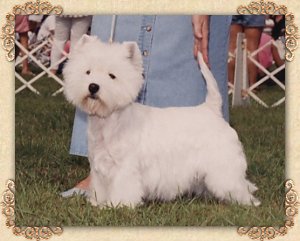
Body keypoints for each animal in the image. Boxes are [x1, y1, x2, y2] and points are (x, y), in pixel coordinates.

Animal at [63, 34, 260, 207]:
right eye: (87, 72)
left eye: (112, 75)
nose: (93, 87)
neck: (109, 123)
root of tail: (212, 109)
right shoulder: (100, 168)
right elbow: (100, 188)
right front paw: (98, 203)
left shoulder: (125, 168)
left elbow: (123, 189)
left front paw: (117, 205)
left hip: (222, 165)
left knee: (236, 184)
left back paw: (248, 202)